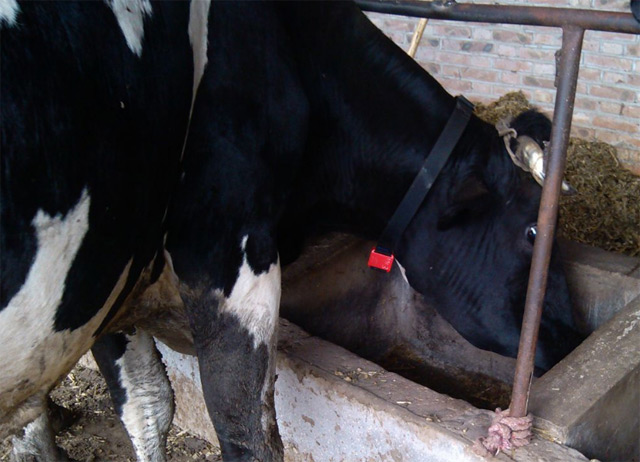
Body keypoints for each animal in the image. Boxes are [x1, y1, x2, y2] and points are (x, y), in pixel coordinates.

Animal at [1, 1, 584, 461]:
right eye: (534, 231)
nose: (571, 337)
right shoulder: (229, 252)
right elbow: (245, 430)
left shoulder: (112, 281)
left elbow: (146, 405)